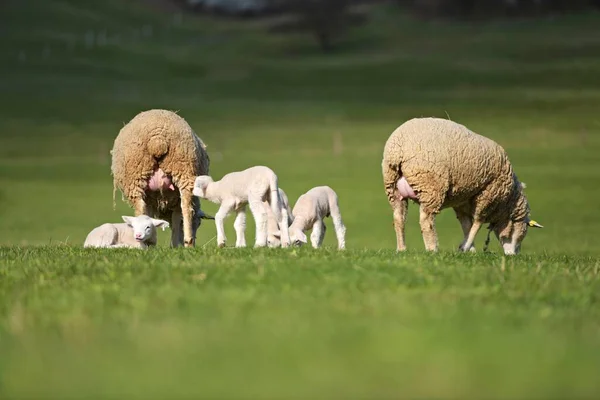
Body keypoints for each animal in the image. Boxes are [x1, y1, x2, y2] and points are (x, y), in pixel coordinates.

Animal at [110, 108, 213, 248]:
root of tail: (158, 140)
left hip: (136, 177)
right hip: (183, 168)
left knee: (140, 208)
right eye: (198, 223)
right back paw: (188, 242)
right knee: (186, 207)